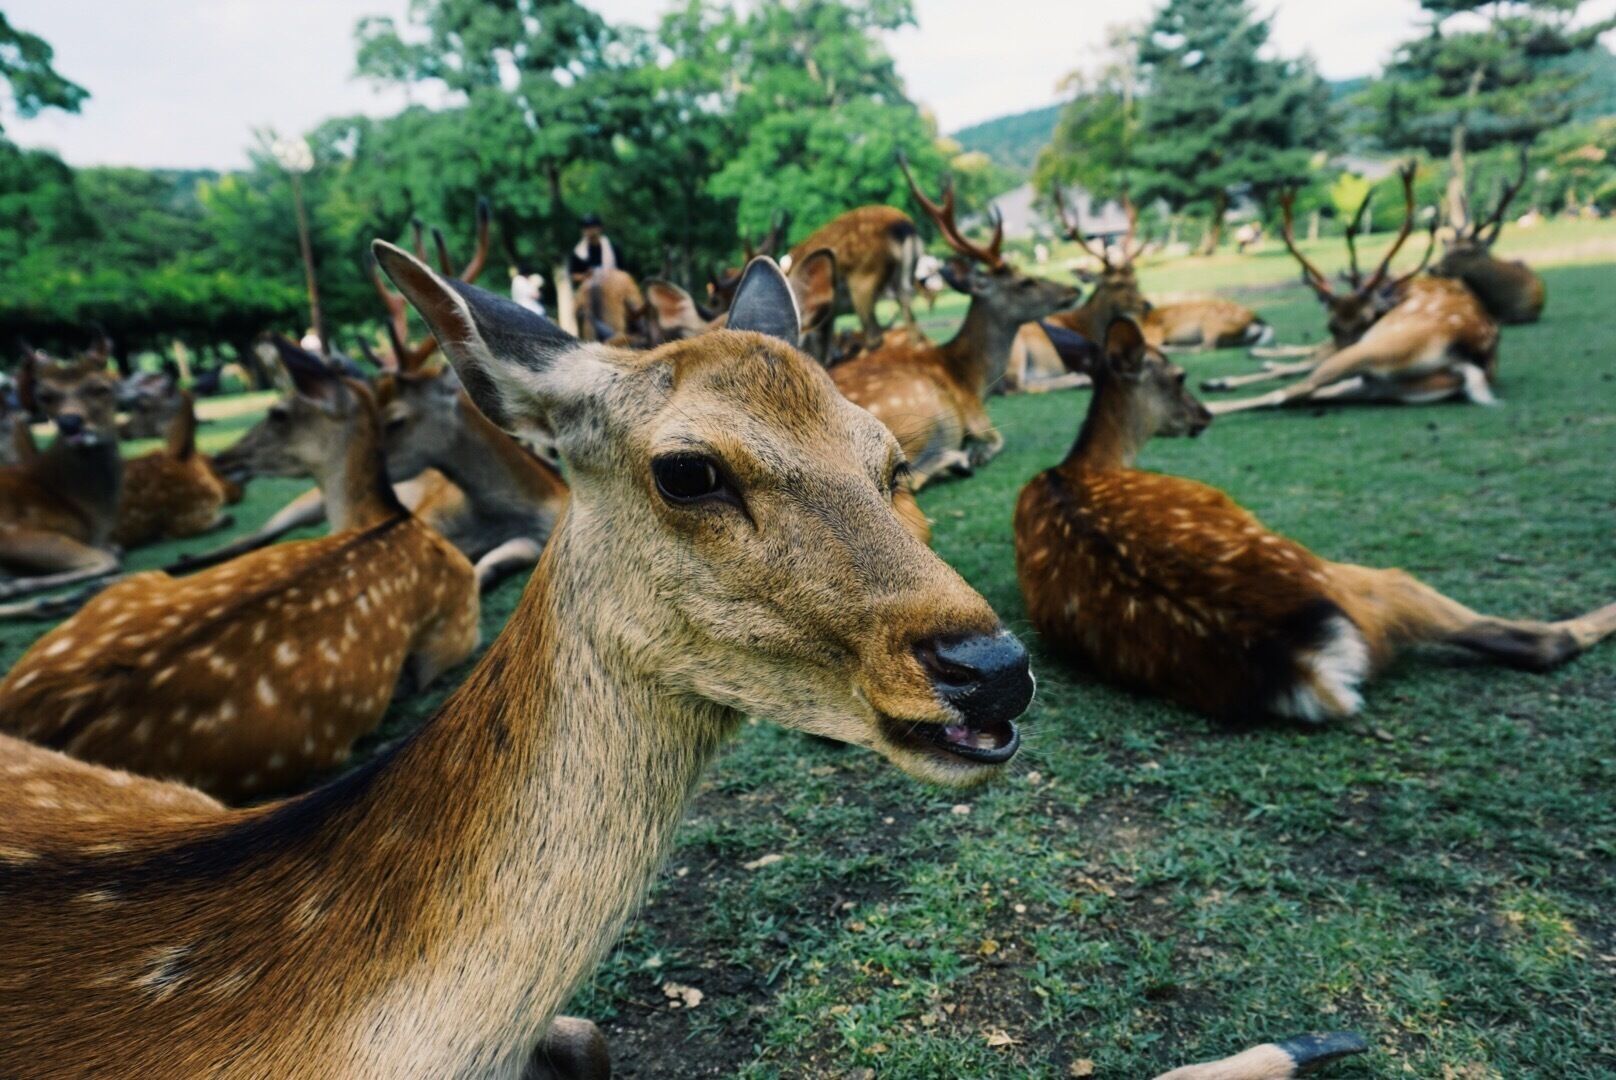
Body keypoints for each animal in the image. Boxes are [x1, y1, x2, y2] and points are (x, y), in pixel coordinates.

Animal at [0, 342, 125, 599]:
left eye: (101, 388)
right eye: (45, 396)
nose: (70, 423)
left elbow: (116, 549)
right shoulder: (9, 531)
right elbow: (108, 558)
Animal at [830, 158, 1081, 486]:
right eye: (1025, 282)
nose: (1073, 290)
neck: (973, 378)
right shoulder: (975, 415)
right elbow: (998, 440)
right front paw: (977, 454)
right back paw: (959, 461)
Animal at [1015, 317, 1616, 724]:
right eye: (1181, 375)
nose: (1203, 416)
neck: (1085, 465)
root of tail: (1307, 664)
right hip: (1371, 581)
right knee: (1535, 641)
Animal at [1203, 165, 1500, 415]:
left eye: (1367, 320)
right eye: (1331, 324)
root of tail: (1469, 358)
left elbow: (1305, 363)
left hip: (1374, 350)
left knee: (1294, 390)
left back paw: (1210, 402)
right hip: (1383, 385)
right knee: (1307, 391)